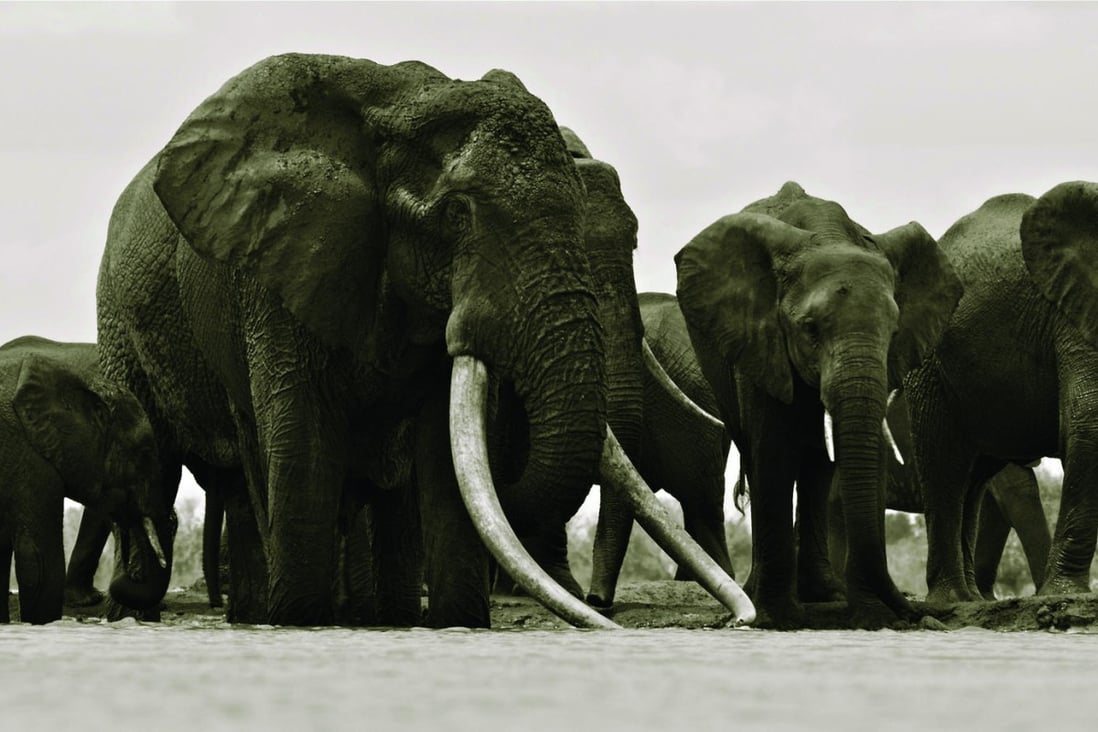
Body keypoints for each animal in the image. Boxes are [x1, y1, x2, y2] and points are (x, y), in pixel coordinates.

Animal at [94, 53, 752, 628]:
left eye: (635, 240)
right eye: (459, 214)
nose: (735, 622)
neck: (402, 100)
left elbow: (443, 454)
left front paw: (455, 625)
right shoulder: (279, 270)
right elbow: (305, 443)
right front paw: (300, 622)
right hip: (121, 319)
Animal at [675, 181, 963, 629]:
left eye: (894, 331)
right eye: (809, 329)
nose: (911, 611)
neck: (828, 235)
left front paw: (862, 611)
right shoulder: (762, 340)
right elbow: (773, 452)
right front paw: (778, 618)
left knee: (817, 469)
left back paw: (823, 593)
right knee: (758, 455)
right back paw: (761, 594)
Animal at [906, 181, 1098, 602]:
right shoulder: (1074, 314)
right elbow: (1087, 422)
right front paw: (1063, 595)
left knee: (974, 478)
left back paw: (972, 599)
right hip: (930, 360)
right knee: (944, 465)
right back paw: (952, 600)